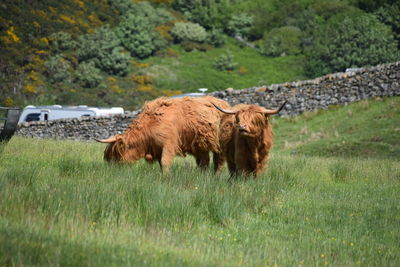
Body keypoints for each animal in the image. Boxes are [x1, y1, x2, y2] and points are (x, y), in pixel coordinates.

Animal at [96, 97, 231, 173]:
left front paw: (166, 178)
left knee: (219, 161)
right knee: (204, 161)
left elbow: (165, 162)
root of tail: (226, 104)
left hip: (220, 145)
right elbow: (161, 164)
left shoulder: (169, 144)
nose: (112, 170)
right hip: (200, 145)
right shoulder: (157, 148)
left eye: (115, 155)